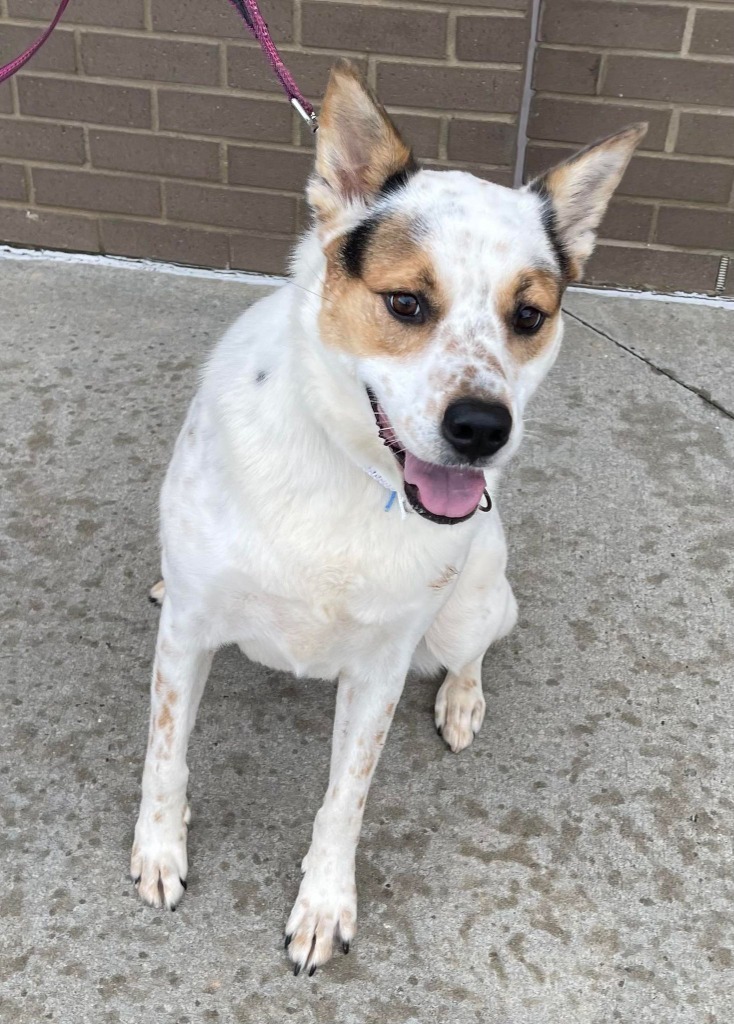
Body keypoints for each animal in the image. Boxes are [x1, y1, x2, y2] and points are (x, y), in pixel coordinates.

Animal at [132, 59, 646, 970]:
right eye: (406, 304)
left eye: (529, 316)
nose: (482, 429)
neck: (348, 469)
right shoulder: (188, 636)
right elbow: (167, 757)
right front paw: (159, 849)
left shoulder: (377, 671)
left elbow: (346, 800)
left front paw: (324, 904)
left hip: (471, 607)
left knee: (476, 646)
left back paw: (462, 701)